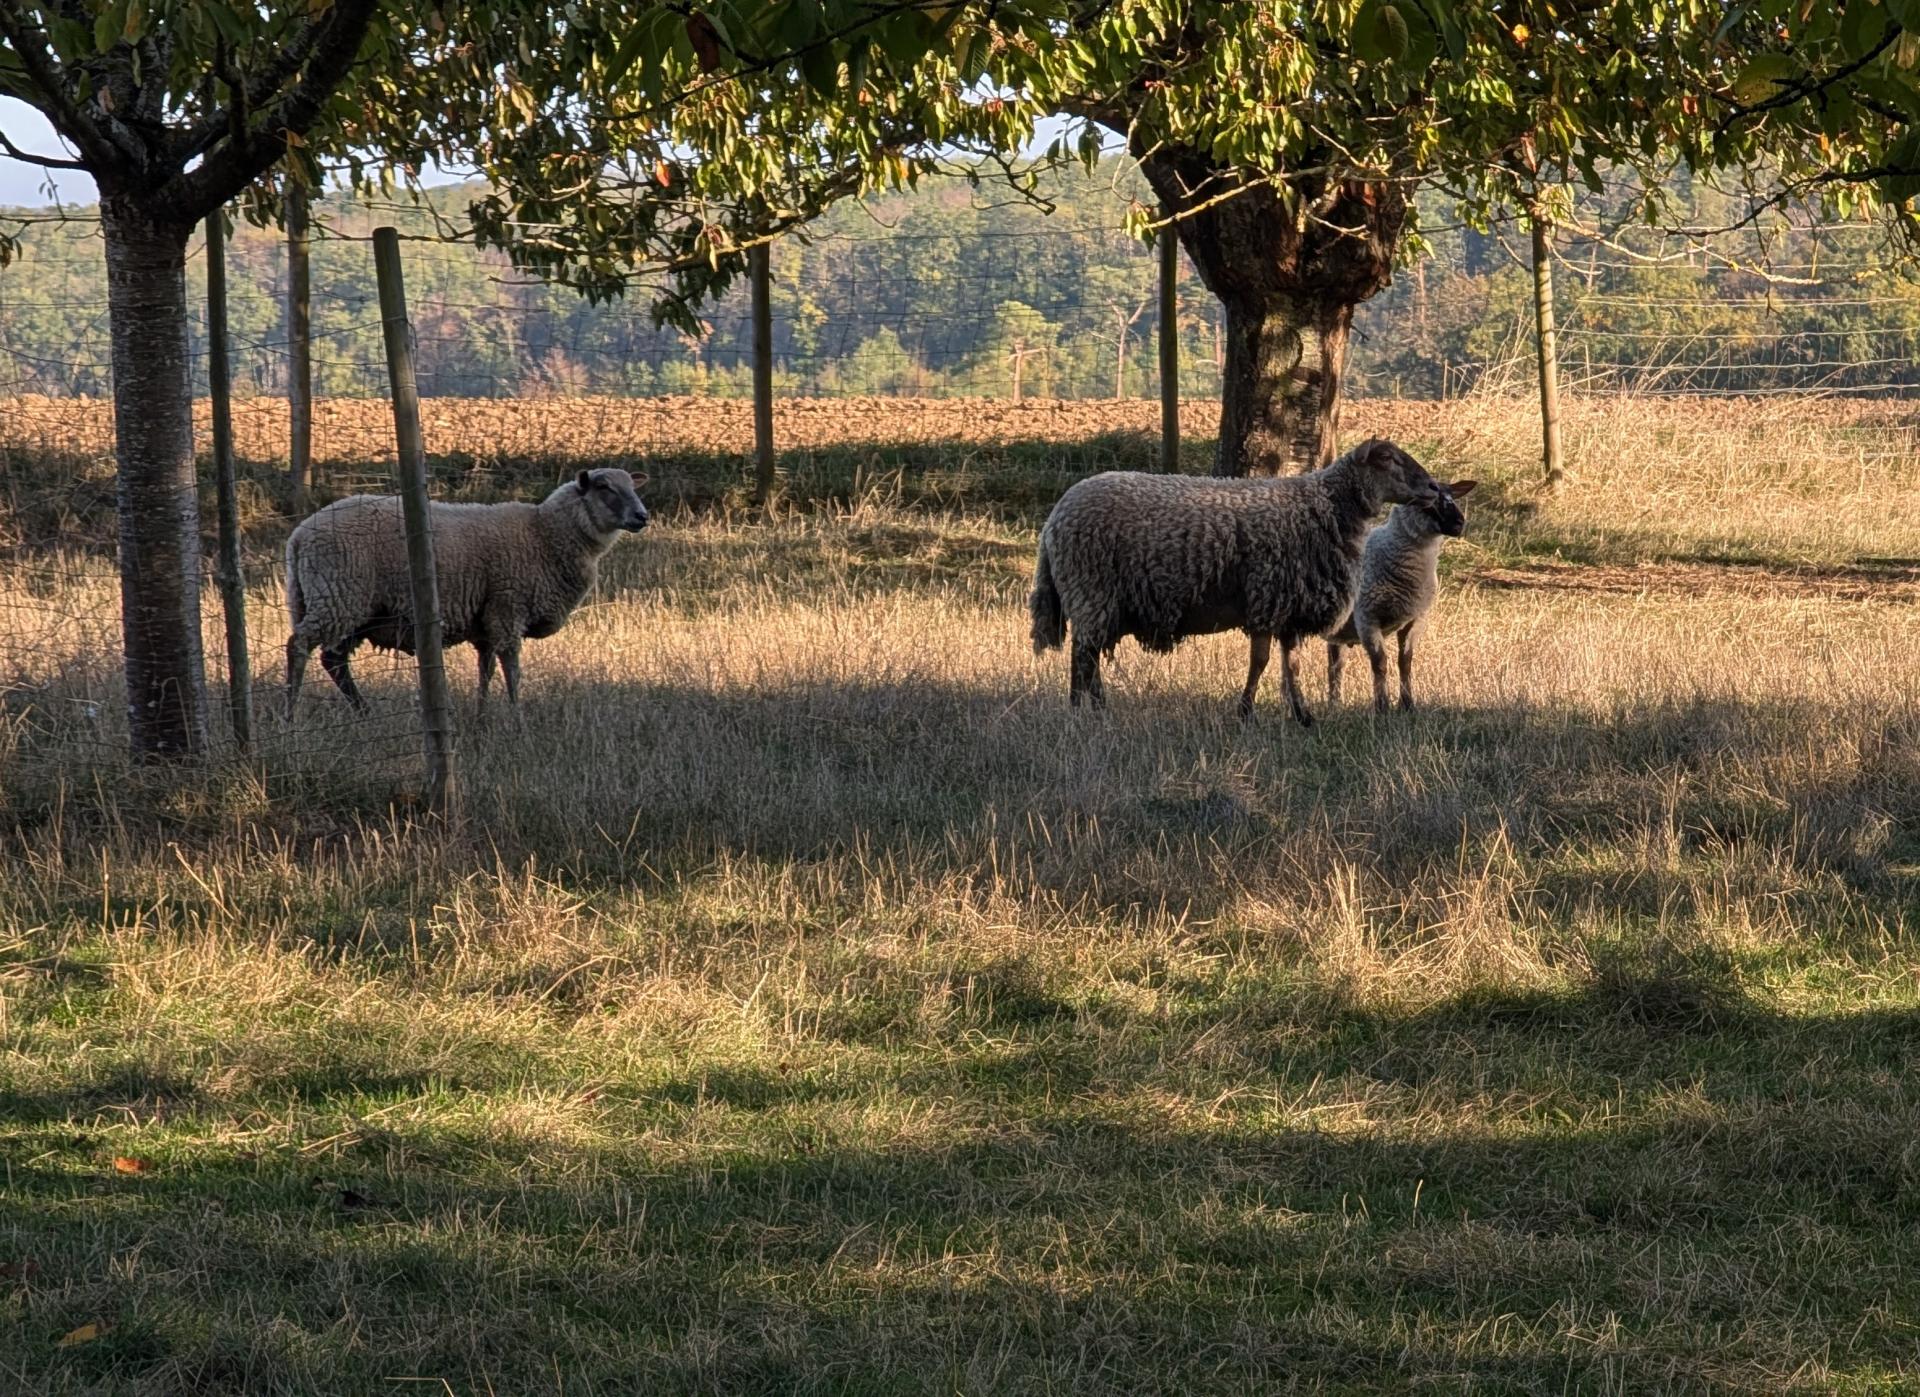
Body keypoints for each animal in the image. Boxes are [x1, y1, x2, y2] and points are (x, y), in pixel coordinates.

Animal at [285, 468, 649, 718]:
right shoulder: (507, 607)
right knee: (299, 645)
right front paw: (517, 717)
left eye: (634, 487)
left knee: (334, 660)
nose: (642, 516)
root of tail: (300, 535)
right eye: (604, 487)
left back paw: (364, 712)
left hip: (351, 608)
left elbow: (485, 670)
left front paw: (481, 716)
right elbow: (512, 669)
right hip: (339, 595)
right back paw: (290, 715)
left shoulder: (485, 620)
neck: (544, 533)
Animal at [1028, 438, 1445, 725]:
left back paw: (1097, 708)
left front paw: (1301, 715)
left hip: (1097, 600)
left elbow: (1288, 664)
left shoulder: (1285, 609)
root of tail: (1054, 519)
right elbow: (1261, 662)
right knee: (1083, 656)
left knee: (1089, 655)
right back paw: (1081, 712)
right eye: (1387, 458)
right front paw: (1247, 713)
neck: (1326, 507)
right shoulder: (1268, 598)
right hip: (1090, 590)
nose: (1433, 488)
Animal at [1325, 480, 1476, 714]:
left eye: (1452, 496)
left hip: (1338, 628)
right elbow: (1380, 663)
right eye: (1428, 500)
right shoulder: (1367, 617)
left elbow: (1405, 661)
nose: (1459, 523)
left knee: (1334, 665)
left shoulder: (1416, 619)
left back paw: (1334, 705)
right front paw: (1382, 707)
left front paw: (1407, 705)